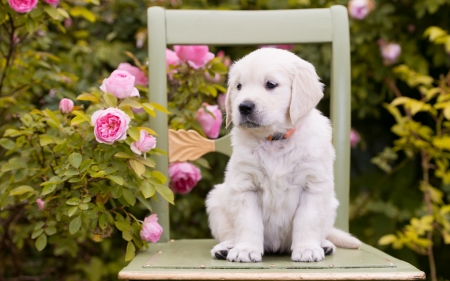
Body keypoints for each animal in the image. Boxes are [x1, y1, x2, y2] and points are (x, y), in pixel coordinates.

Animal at [206, 47, 360, 262]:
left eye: (271, 84)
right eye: (239, 86)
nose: (244, 106)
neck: (275, 139)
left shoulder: (313, 184)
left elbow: (307, 219)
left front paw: (306, 249)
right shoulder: (245, 185)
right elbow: (248, 221)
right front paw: (245, 249)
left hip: (330, 205)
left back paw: (324, 244)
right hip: (216, 201)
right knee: (229, 232)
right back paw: (226, 247)